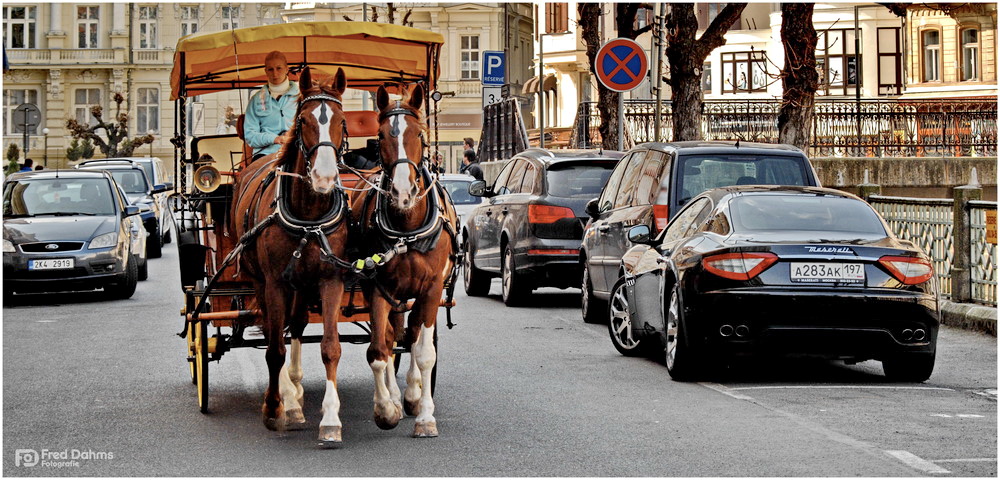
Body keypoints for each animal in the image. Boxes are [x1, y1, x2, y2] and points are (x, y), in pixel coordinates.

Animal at [229, 65, 352, 444]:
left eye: (342, 120)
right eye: (304, 120)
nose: (324, 177)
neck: (309, 215)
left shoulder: (330, 280)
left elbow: (330, 346)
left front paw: (331, 419)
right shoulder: (273, 283)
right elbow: (274, 349)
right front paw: (273, 408)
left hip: (302, 282)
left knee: (295, 324)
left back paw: (295, 394)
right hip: (263, 280)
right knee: (276, 330)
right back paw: (286, 398)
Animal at [350, 83, 458, 438]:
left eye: (419, 134)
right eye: (382, 134)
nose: (402, 193)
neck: (405, 231)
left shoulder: (431, 289)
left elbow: (424, 352)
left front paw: (424, 415)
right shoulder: (377, 287)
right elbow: (379, 349)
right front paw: (386, 408)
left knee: (410, 336)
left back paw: (411, 395)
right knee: (392, 336)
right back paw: (398, 398)